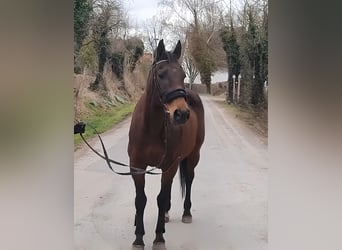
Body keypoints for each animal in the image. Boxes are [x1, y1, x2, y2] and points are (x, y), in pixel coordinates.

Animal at [127, 39, 203, 248]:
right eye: (161, 74)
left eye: (183, 75)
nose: (181, 113)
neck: (151, 128)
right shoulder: (137, 166)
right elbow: (140, 200)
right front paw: (138, 238)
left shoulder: (169, 164)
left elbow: (160, 199)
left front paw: (159, 237)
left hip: (192, 156)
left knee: (189, 179)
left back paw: (186, 213)